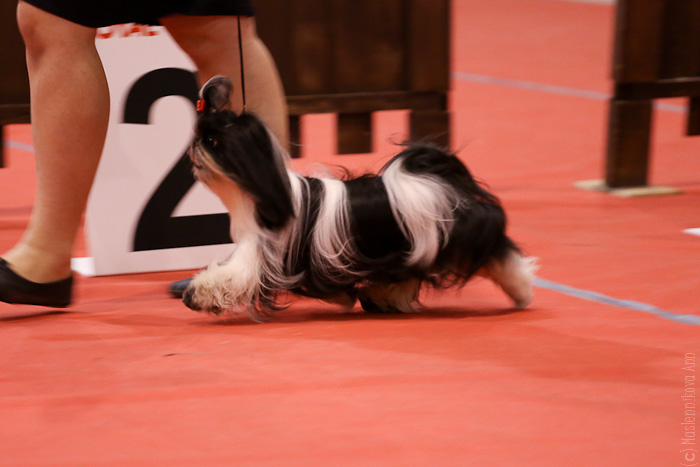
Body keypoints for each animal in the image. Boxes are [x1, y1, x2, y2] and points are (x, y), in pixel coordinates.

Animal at [182, 76, 537, 321]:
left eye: (213, 141)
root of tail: (440, 178)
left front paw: (197, 295)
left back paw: (521, 291)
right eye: (199, 135)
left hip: (457, 238)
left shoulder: (261, 252)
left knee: (500, 256)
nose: (194, 147)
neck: (266, 189)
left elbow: (230, 276)